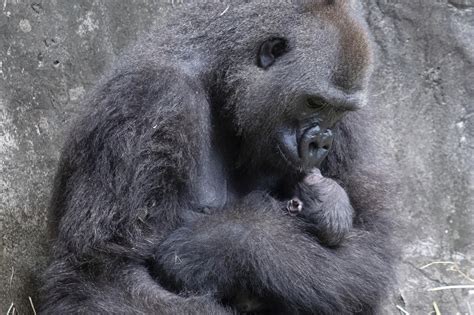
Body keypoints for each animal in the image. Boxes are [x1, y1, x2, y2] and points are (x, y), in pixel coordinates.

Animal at [39, 1, 396, 314]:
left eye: (339, 110)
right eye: (314, 102)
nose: (320, 142)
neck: (220, 75)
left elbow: (371, 244)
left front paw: (226, 245)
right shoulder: (151, 98)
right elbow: (100, 276)